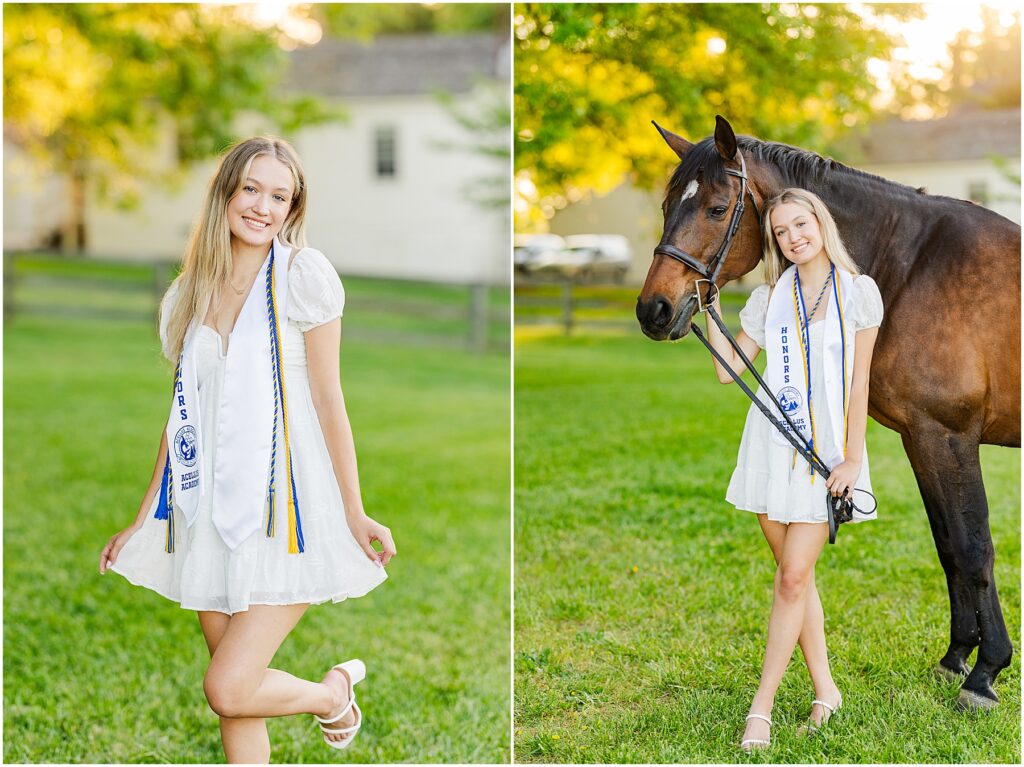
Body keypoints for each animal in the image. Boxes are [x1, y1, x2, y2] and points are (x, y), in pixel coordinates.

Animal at [634, 115, 1019, 712]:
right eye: (667, 204)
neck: (914, 267)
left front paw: (985, 674)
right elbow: (949, 548)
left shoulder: (950, 436)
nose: (653, 309)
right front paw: (957, 657)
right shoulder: (923, 439)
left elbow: (974, 549)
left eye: (717, 209)